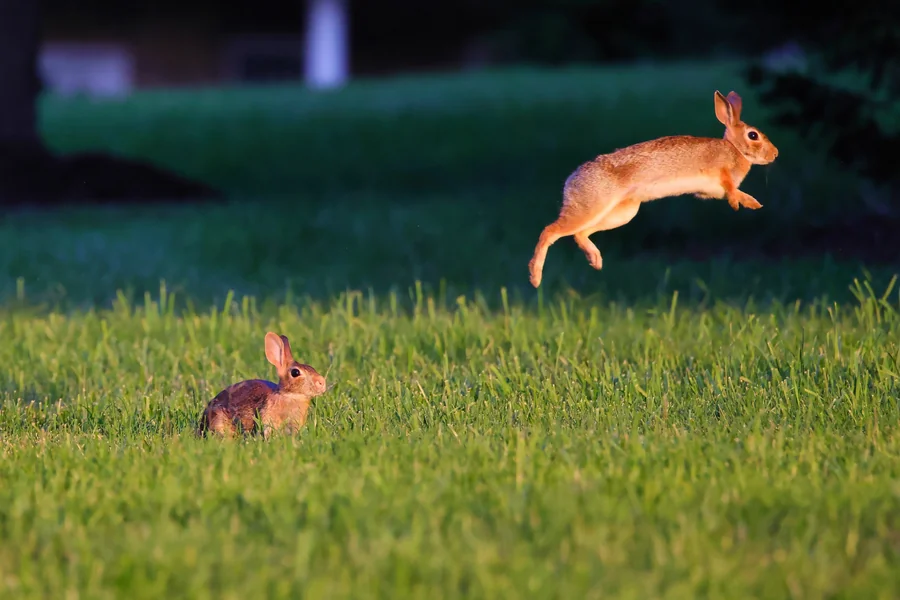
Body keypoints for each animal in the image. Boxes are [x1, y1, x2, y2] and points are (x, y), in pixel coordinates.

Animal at [528, 90, 779, 288]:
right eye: (753, 135)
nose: (775, 154)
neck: (735, 149)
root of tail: (571, 180)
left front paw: (753, 203)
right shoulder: (722, 171)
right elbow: (730, 187)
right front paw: (741, 203)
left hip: (622, 213)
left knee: (580, 233)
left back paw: (596, 261)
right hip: (591, 207)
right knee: (550, 231)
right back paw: (535, 277)